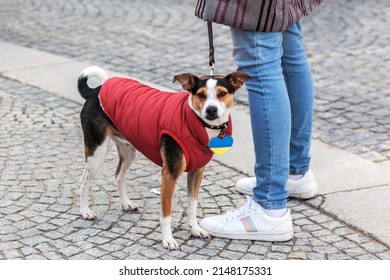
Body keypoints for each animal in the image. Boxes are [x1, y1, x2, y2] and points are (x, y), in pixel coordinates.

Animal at [77, 65, 251, 249]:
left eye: (222, 93)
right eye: (201, 94)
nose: (211, 110)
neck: (197, 124)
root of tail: (95, 91)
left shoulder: (196, 173)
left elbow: (192, 206)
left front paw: (195, 229)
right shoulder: (169, 175)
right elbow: (166, 214)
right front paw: (168, 239)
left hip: (128, 150)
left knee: (119, 176)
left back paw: (126, 203)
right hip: (97, 151)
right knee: (84, 181)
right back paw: (85, 211)